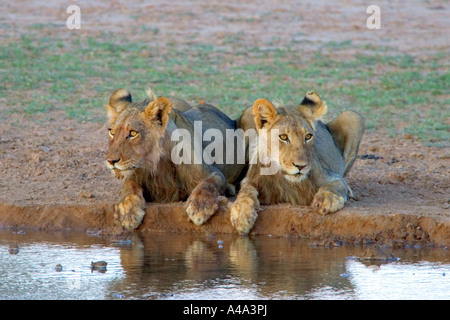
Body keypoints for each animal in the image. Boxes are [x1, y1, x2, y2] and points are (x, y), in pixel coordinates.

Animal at [105, 87, 246, 230]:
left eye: (133, 133)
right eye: (112, 132)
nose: (110, 161)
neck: (159, 163)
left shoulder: (213, 172)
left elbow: (208, 184)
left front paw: (199, 207)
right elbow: (129, 186)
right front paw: (127, 211)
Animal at [230, 91, 364, 234]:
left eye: (308, 136)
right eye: (283, 137)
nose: (301, 166)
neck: (287, 180)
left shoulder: (332, 176)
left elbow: (336, 185)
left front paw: (326, 199)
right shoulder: (250, 180)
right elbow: (246, 192)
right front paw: (242, 214)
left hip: (353, 117)